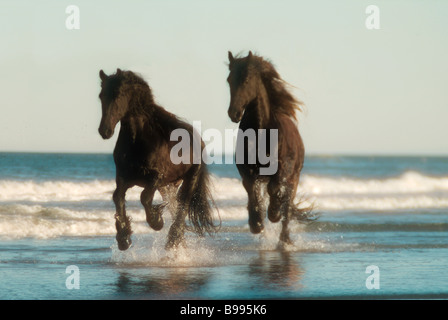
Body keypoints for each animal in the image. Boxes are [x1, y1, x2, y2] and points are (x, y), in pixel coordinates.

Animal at [98, 69, 219, 251]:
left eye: (118, 95)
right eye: (101, 96)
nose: (105, 131)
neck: (137, 142)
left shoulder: (155, 177)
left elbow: (144, 197)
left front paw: (156, 221)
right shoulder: (124, 178)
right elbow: (118, 198)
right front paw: (124, 238)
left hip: (189, 179)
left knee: (182, 207)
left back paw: (173, 240)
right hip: (168, 186)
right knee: (175, 207)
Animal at [226, 51, 314, 245]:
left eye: (247, 79)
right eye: (229, 80)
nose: (234, 113)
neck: (261, 133)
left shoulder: (281, 170)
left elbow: (274, 190)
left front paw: (273, 213)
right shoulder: (247, 171)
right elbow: (252, 191)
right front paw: (256, 223)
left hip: (294, 178)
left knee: (287, 207)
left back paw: (284, 238)